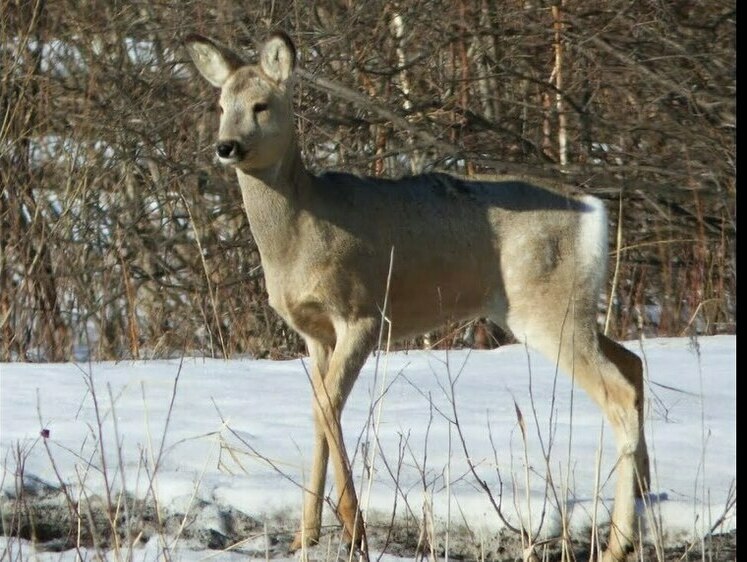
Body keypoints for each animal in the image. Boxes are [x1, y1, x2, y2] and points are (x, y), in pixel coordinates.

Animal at [188, 31, 656, 560]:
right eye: (221, 105)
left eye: (261, 105)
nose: (226, 146)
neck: (301, 232)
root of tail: (595, 210)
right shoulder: (314, 333)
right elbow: (318, 412)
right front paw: (305, 535)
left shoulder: (364, 312)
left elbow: (328, 405)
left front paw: (353, 529)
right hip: (566, 305)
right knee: (633, 362)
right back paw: (644, 500)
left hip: (545, 304)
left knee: (618, 392)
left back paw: (617, 543)